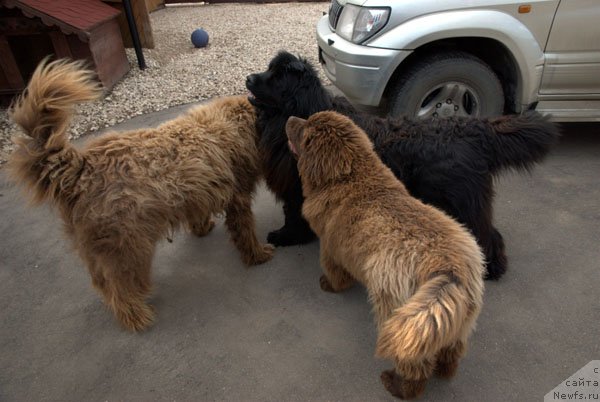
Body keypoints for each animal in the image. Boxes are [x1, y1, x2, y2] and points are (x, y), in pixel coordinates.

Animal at [7, 58, 274, 332]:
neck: (240, 121)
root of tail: (81, 167)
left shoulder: (198, 193)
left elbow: (198, 213)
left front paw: (202, 227)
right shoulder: (238, 197)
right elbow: (245, 231)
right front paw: (257, 255)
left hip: (96, 248)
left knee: (102, 283)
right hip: (129, 247)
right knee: (121, 288)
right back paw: (135, 314)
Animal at [246, 51, 560, 280]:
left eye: (277, 77)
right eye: (269, 69)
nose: (249, 77)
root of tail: (470, 129)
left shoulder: (298, 187)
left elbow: (294, 214)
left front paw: (287, 237)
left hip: (462, 199)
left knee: (487, 233)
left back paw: (491, 268)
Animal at [286, 110, 488, 398]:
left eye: (305, 131)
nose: (290, 118)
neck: (350, 177)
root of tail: (448, 266)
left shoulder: (330, 246)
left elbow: (334, 270)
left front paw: (329, 284)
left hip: (401, 315)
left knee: (413, 364)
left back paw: (399, 386)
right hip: (455, 317)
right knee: (451, 349)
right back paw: (444, 369)